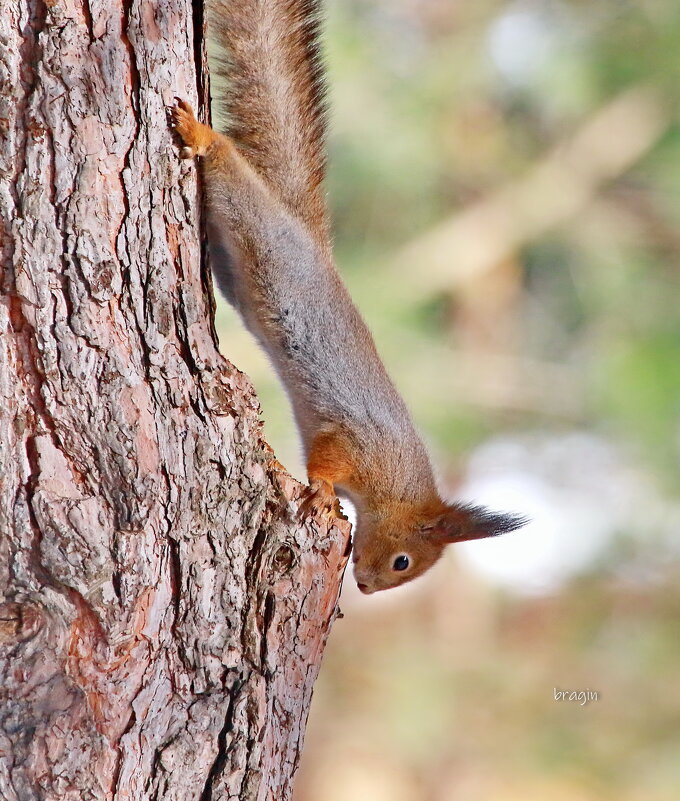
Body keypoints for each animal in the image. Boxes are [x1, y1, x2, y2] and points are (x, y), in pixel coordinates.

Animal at [169, 0, 524, 588]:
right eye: (404, 561)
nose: (365, 586)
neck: (396, 484)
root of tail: (307, 237)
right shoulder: (355, 444)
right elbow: (325, 462)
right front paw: (322, 493)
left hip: (235, 271)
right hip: (263, 233)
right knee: (232, 175)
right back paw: (201, 135)